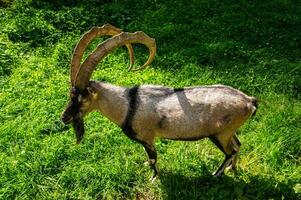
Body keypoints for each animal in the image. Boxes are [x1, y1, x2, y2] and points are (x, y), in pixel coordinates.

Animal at [61, 24, 258, 180]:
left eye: (81, 97)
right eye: (70, 94)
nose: (64, 117)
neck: (128, 105)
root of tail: (249, 101)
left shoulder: (147, 138)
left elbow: (153, 159)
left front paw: (154, 178)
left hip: (220, 134)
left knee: (230, 151)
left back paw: (217, 174)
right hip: (229, 131)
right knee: (238, 145)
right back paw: (233, 169)